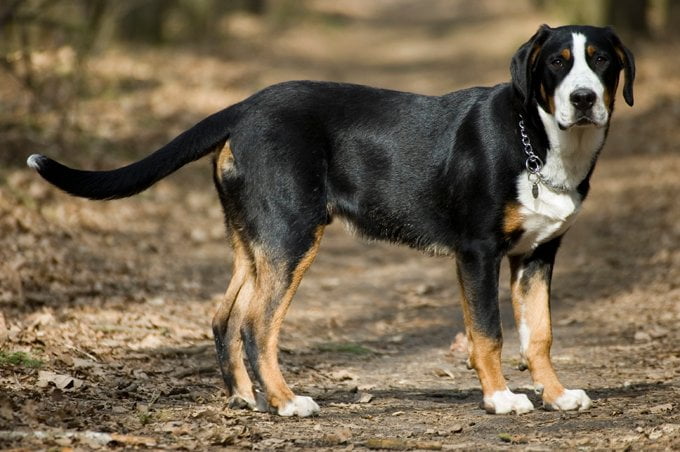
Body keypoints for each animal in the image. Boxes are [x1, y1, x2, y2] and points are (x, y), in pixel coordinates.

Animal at [25, 24, 632, 416]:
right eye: (556, 62)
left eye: (601, 59)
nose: (583, 99)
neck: (540, 143)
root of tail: (244, 107)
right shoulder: (478, 252)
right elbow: (488, 333)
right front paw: (502, 398)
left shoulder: (537, 256)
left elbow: (540, 335)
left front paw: (557, 395)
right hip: (293, 234)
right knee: (257, 323)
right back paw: (287, 402)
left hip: (256, 240)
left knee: (225, 317)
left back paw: (246, 398)